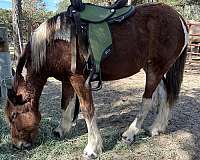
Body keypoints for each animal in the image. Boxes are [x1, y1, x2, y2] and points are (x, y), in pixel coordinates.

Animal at [5, 3, 188, 159]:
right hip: (153, 68)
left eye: (14, 115)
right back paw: (157, 128)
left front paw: (92, 148)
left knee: (147, 100)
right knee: (165, 93)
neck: (56, 43)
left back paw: (130, 133)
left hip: (155, 69)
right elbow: (65, 104)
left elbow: (87, 110)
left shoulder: (79, 79)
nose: (16, 145)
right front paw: (61, 130)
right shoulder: (67, 80)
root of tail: (179, 18)